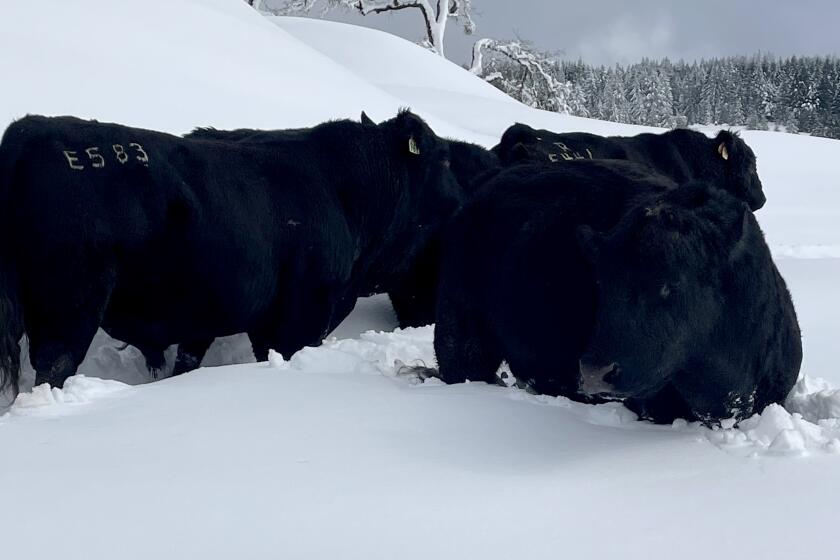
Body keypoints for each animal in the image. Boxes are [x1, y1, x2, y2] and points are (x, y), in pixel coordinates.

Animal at [0, 108, 462, 390]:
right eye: (442, 160)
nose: (461, 198)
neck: (346, 189)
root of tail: (30, 130)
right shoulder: (300, 318)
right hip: (69, 312)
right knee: (54, 367)